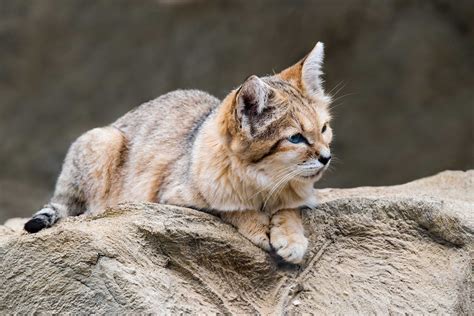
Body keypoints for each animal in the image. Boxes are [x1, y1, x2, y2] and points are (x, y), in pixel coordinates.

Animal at [23, 42, 334, 264]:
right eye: (296, 138)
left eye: (324, 128)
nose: (326, 157)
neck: (264, 182)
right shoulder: (172, 197)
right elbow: (228, 208)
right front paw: (257, 226)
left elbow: (291, 209)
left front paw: (291, 238)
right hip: (102, 141)